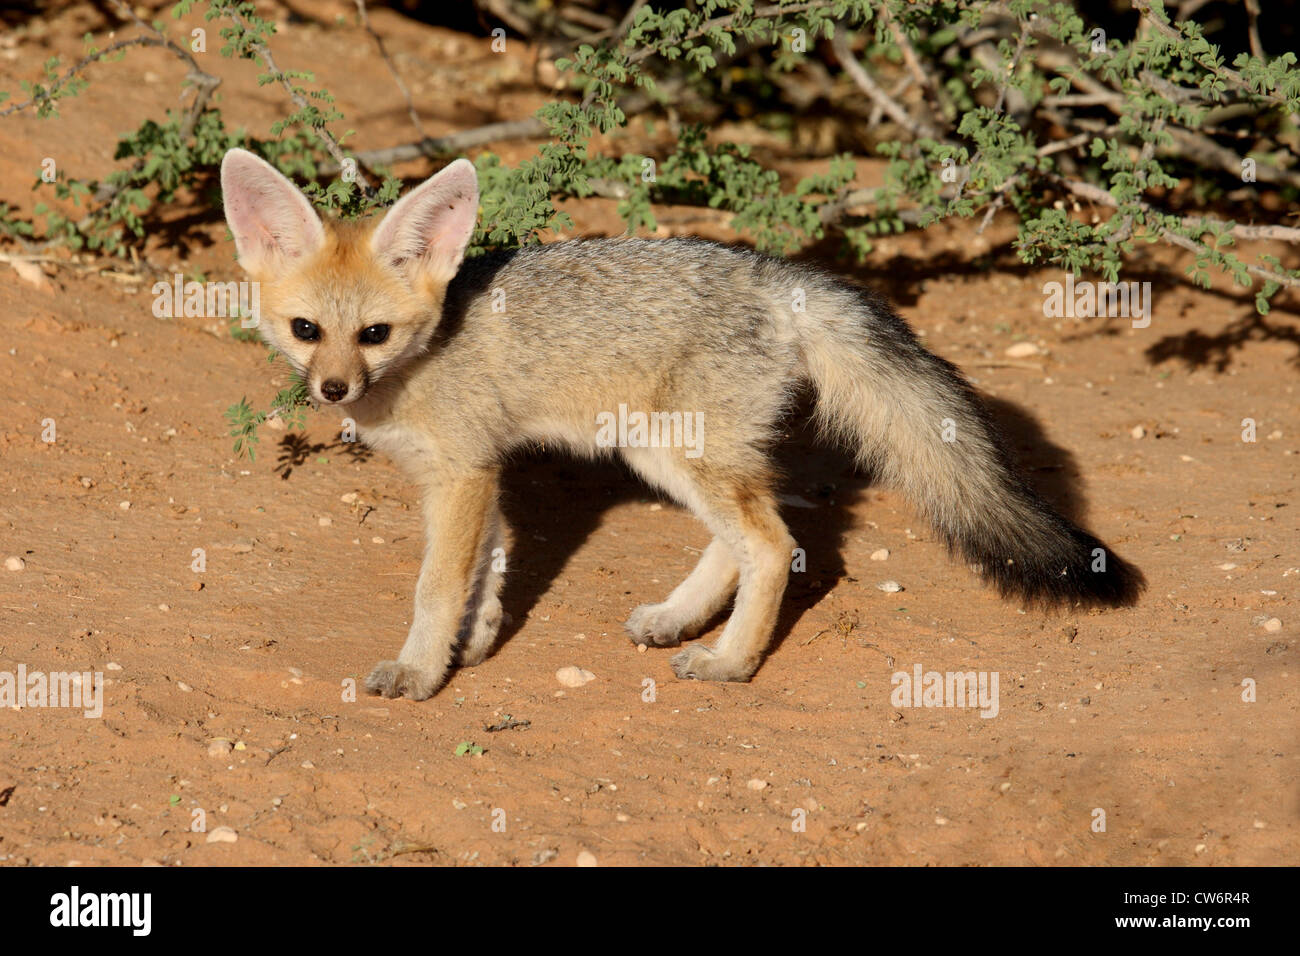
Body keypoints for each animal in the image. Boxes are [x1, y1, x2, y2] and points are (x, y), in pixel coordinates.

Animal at [219, 147, 1143, 701]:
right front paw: (475, 641)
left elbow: (438, 585)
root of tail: (780, 275)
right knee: (750, 539)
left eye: (374, 334)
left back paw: (732, 660)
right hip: (667, 453)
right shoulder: (479, 475)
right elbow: (492, 563)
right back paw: (680, 619)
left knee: (772, 544)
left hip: (675, 453)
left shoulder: (462, 475)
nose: (333, 389)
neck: (421, 361)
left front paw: (420, 669)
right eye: (307, 330)